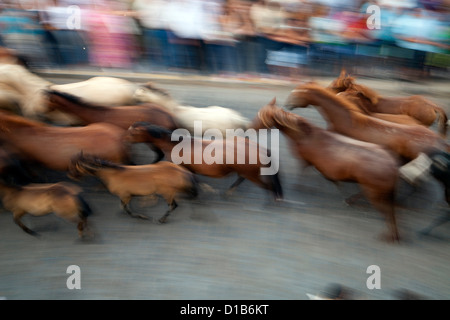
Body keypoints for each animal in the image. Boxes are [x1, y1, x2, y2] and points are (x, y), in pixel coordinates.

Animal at [69, 154, 199, 224]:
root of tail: (182, 171)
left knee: (173, 205)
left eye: (77, 165)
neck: (113, 175)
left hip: (167, 193)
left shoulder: (124, 195)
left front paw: (142, 216)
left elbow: (125, 208)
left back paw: (162, 219)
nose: (71, 175)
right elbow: (125, 207)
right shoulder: (128, 195)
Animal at [125, 121, 284, 201]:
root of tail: (261, 149)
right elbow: (196, 180)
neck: (175, 144)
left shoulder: (181, 169)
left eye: (132, 133)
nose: (125, 139)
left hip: (252, 174)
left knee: (267, 186)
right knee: (242, 179)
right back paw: (229, 192)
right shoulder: (189, 169)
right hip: (245, 171)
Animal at [250, 99, 400, 241]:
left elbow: (304, 173)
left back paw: (388, 235)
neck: (304, 136)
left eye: (261, 116)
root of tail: (390, 163)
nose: (250, 127)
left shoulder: (305, 161)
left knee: (387, 211)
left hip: (373, 192)